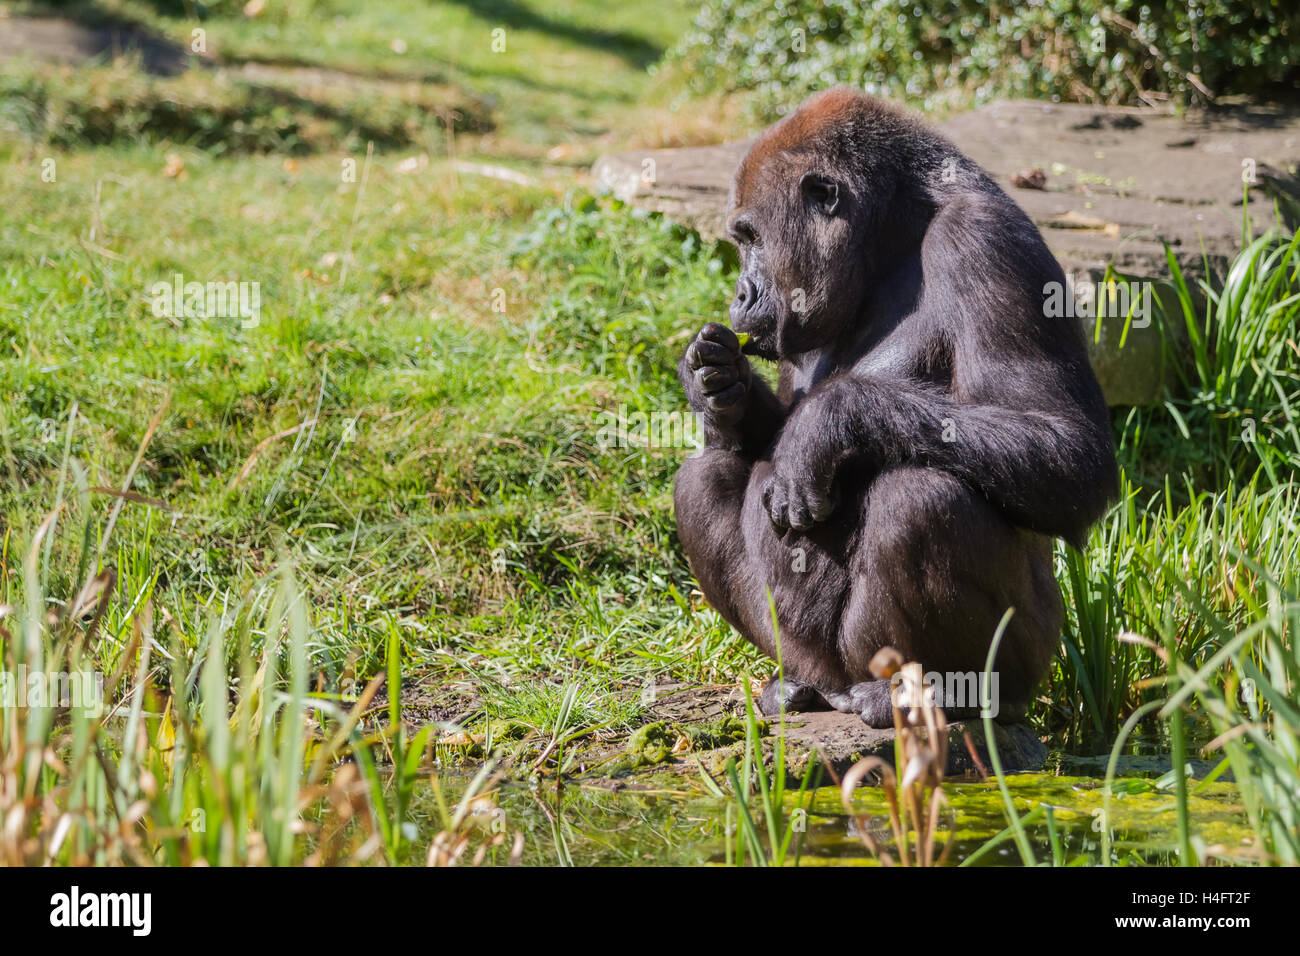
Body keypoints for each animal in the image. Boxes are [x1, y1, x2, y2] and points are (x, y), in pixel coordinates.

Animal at [670, 91, 1118, 733]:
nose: (740, 293)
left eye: (751, 237)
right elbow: (758, 436)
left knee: (920, 500)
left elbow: (1070, 448)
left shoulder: (983, 239)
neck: (893, 237)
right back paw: (798, 684)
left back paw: (944, 694)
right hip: (826, 664)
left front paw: (829, 419)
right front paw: (718, 385)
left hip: (1028, 658)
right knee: (703, 480)